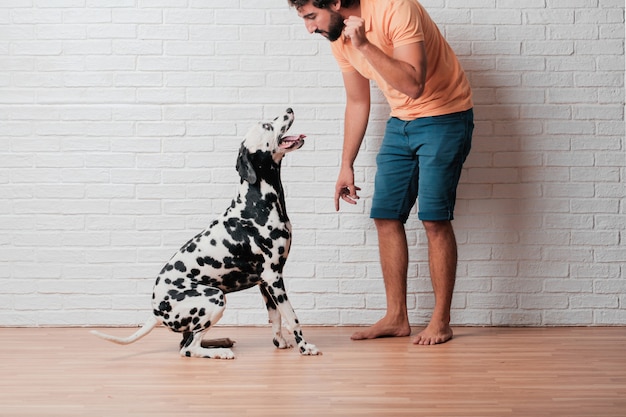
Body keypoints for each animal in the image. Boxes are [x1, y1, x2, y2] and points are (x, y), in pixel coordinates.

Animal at [91, 109, 322, 360]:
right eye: (267, 126)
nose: (289, 109)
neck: (257, 203)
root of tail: (156, 311)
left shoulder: (265, 282)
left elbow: (275, 317)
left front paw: (280, 342)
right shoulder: (273, 277)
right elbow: (292, 316)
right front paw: (304, 347)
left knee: (187, 341)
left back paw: (219, 342)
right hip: (215, 298)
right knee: (188, 348)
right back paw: (221, 352)